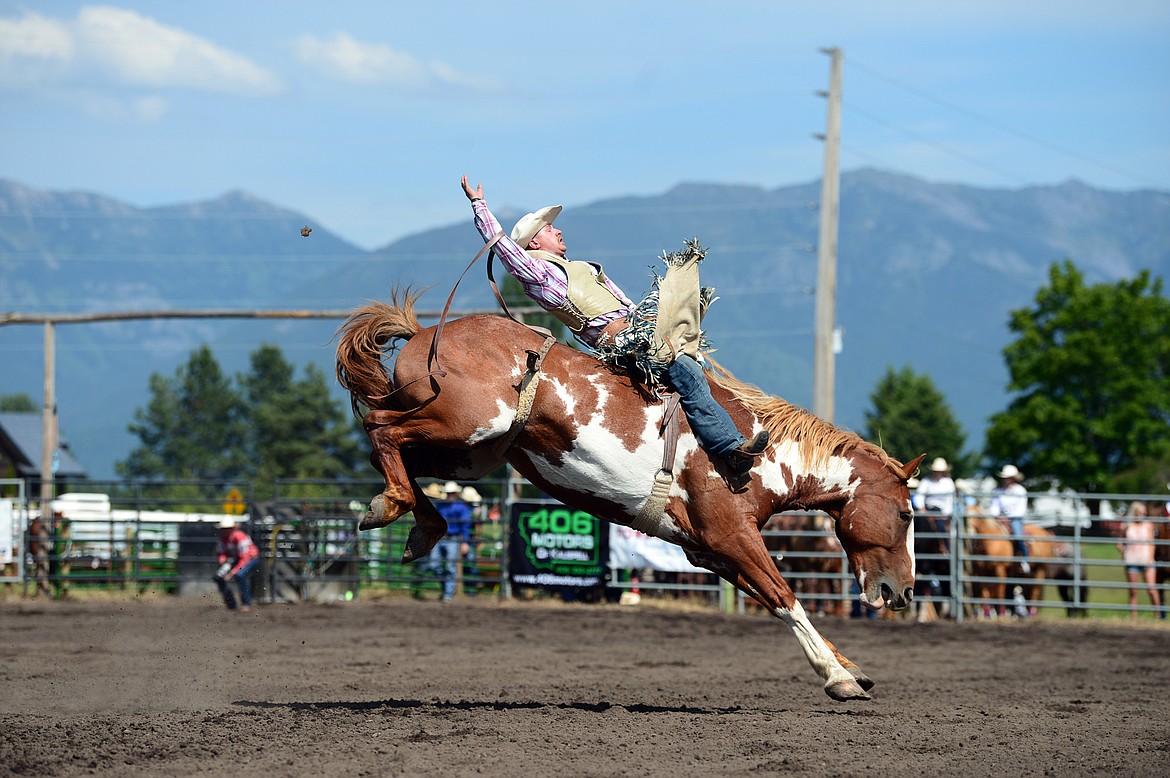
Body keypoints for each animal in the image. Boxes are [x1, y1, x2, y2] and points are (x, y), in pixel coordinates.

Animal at [334, 287, 917, 701]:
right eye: (908, 514)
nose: (904, 592)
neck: (759, 452)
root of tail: (423, 333)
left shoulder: (708, 551)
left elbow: (774, 598)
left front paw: (851, 667)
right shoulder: (732, 534)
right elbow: (786, 597)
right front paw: (838, 677)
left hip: (470, 450)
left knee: (394, 451)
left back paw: (420, 525)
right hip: (470, 423)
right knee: (381, 428)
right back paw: (393, 507)